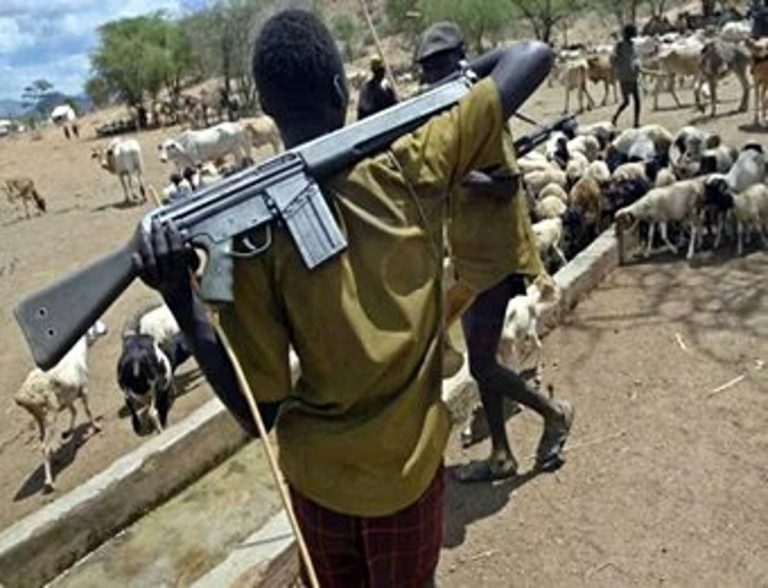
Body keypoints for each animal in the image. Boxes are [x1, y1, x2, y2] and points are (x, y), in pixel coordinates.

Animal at [14, 320, 107, 492]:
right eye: (94, 324)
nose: (106, 329)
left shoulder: (68, 396)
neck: (78, 352)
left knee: (43, 441)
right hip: (49, 413)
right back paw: (48, 482)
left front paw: (68, 432)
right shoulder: (84, 389)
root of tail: (23, 396)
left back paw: (55, 456)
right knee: (44, 446)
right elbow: (87, 410)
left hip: (38, 416)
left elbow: (74, 411)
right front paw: (96, 427)